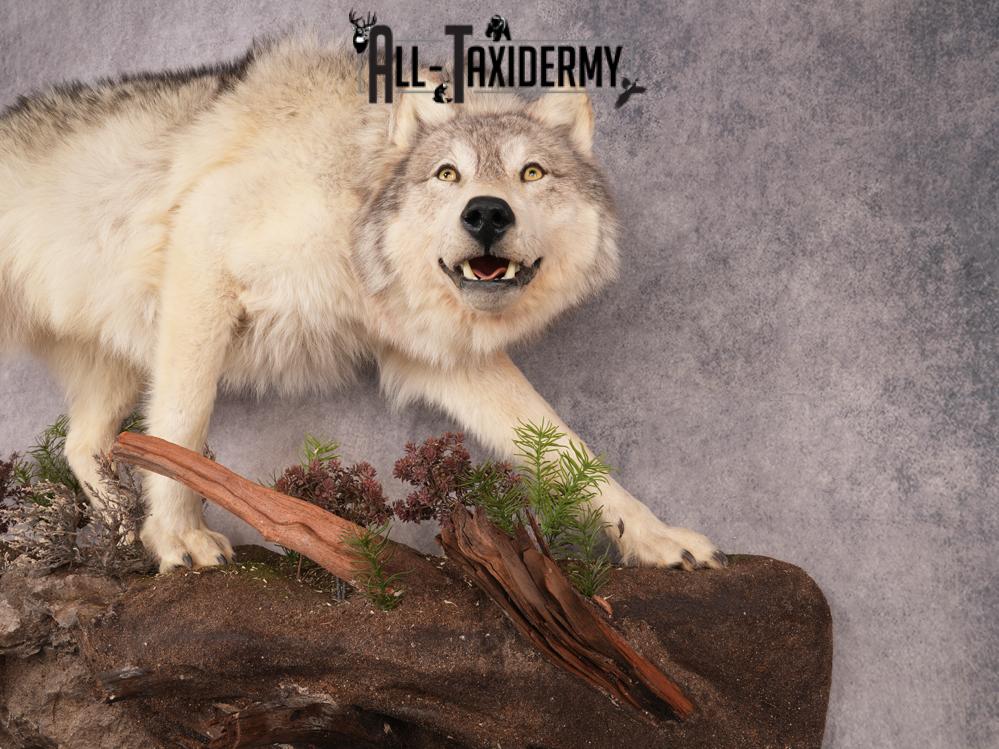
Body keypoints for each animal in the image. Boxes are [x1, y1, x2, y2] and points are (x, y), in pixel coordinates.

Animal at [0, 36, 723, 573]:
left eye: (532, 173)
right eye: (447, 174)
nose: (487, 213)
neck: (354, 212)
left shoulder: (446, 362)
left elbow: (572, 449)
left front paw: (657, 539)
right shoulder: (203, 258)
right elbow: (179, 429)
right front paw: (178, 538)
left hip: (119, 365)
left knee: (82, 445)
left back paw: (122, 531)